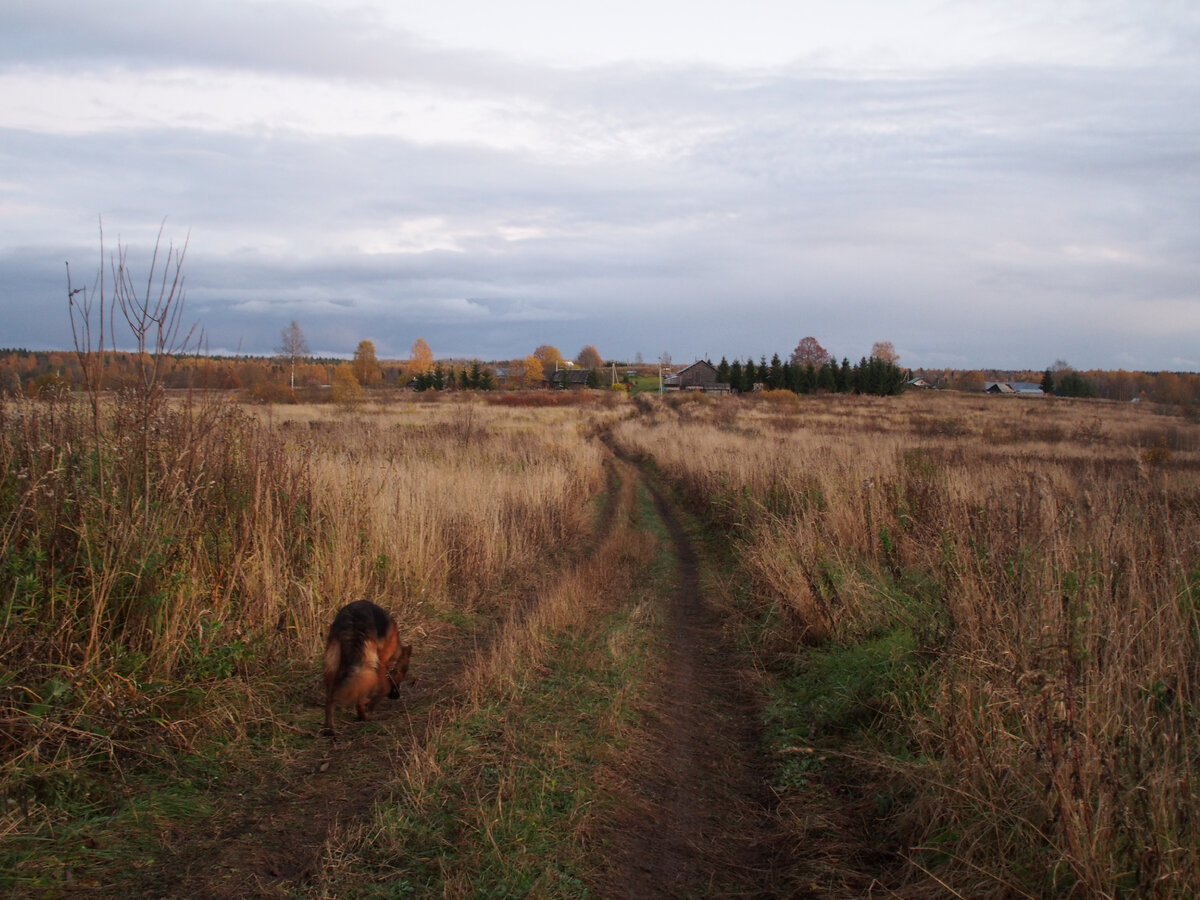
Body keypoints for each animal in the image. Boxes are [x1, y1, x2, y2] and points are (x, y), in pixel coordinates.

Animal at [324, 602, 412, 734]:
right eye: (401, 677)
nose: (397, 696)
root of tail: (353, 619)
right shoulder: (382, 662)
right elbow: (384, 688)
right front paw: (371, 705)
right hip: (370, 662)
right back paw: (364, 714)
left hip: (333, 664)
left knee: (330, 698)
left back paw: (329, 728)